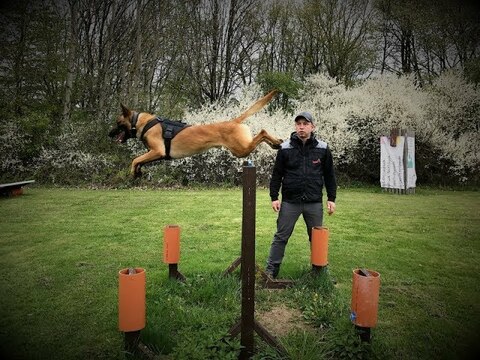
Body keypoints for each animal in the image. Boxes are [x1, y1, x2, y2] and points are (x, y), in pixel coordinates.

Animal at [109, 88, 282, 176]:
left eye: (118, 123)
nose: (109, 134)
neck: (142, 123)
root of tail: (234, 121)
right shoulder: (155, 153)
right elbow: (140, 160)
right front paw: (138, 171)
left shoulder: (157, 151)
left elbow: (135, 159)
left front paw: (133, 171)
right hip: (241, 149)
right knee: (261, 136)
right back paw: (276, 143)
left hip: (240, 150)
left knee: (262, 132)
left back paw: (275, 142)